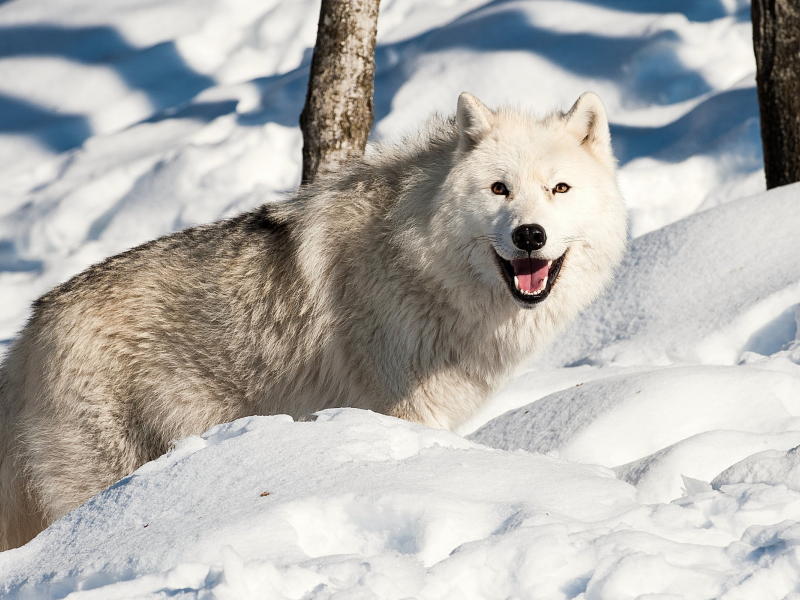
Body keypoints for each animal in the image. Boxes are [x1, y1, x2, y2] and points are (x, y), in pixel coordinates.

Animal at [0, 91, 624, 552]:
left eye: (559, 188)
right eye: (499, 189)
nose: (529, 235)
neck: (419, 260)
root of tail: (28, 333)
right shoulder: (405, 413)